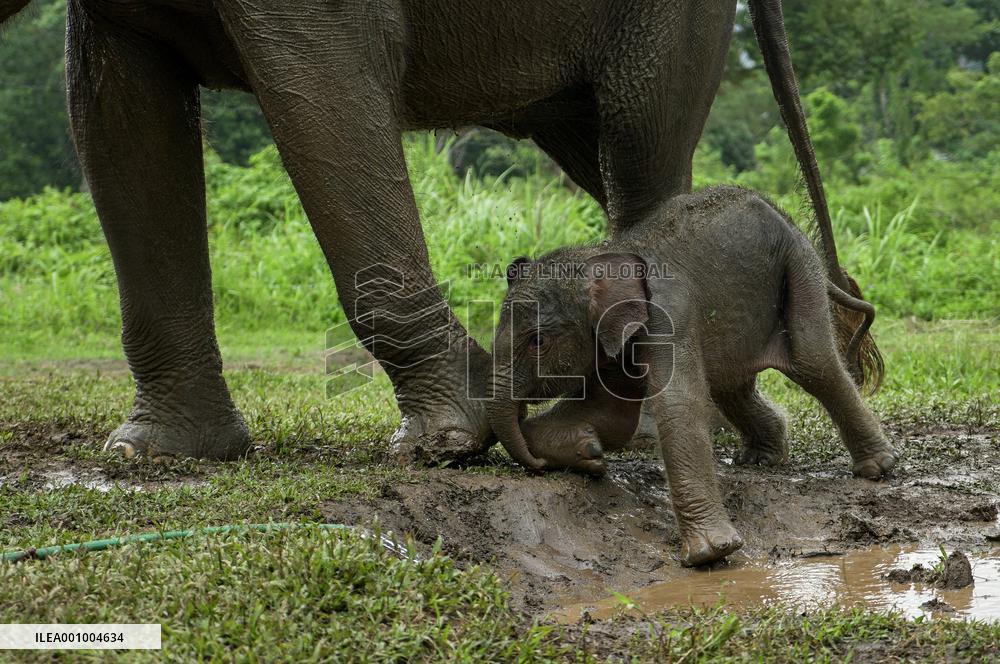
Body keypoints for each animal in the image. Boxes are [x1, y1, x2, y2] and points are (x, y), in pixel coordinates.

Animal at [486, 186, 897, 566]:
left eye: (538, 342)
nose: (538, 468)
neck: (601, 254)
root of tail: (786, 216)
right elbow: (610, 414)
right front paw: (587, 450)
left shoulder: (668, 318)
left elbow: (677, 404)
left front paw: (710, 555)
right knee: (733, 385)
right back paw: (762, 459)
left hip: (799, 267)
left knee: (814, 363)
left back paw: (878, 468)